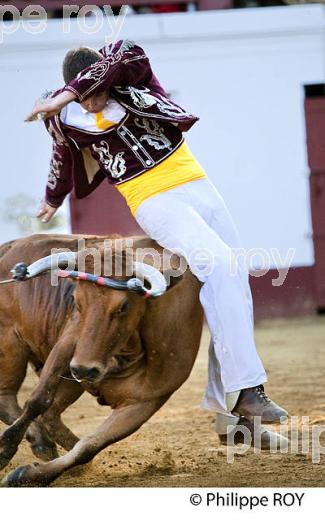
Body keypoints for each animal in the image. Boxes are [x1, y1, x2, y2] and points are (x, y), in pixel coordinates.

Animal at [0, 234, 202, 486]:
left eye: (124, 306)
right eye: (76, 300)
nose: (84, 370)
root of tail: (10, 245)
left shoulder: (146, 400)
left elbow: (88, 446)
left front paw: (31, 475)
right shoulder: (70, 341)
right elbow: (38, 400)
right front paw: (5, 449)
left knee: (50, 415)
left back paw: (48, 447)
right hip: (11, 345)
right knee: (9, 398)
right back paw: (38, 441)